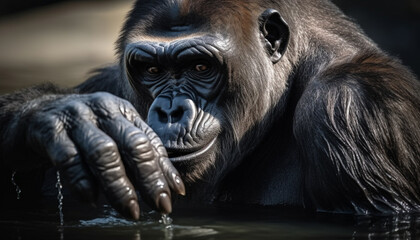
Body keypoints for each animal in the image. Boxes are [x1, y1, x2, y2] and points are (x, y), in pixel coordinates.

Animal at [0, 0, 420, 219]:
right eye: (152, 70)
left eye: (201, 67)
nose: (170, 111)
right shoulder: (110, 84)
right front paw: (65, 117)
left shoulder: (350, 106)